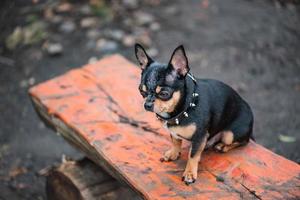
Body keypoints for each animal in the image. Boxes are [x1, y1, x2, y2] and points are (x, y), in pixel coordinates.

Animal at [135, 43, 254, 184]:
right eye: (142, 91)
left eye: (164, 94)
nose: (147, 104)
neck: (185, 107)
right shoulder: (174, 132)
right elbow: (176, 142)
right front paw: (174, 154)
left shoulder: (199, 137)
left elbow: (192, 156)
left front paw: (190, 174)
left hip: (230, 135)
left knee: (244, 141)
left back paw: (222, 146)